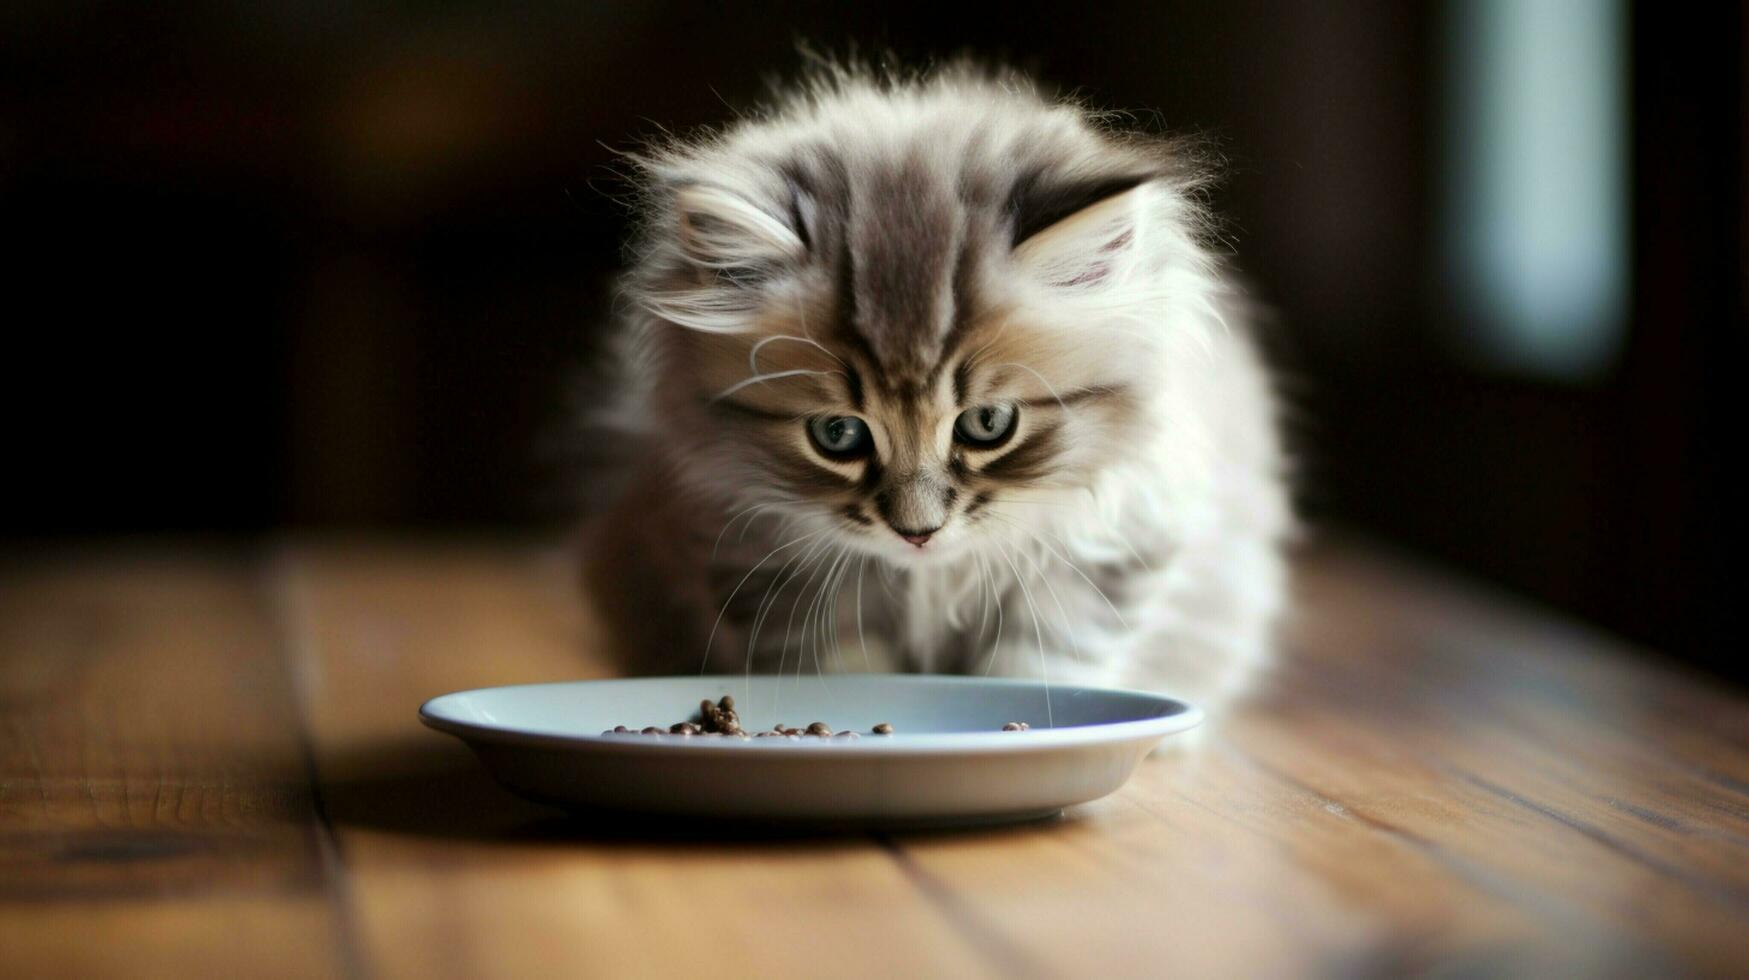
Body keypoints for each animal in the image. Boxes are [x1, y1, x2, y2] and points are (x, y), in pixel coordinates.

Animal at [580, 63, 1294, 710]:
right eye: (837, 433)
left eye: (988, 424)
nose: (917, 534)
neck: (931, 576)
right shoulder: (752, 553)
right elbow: (841, 670)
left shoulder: (1111, 547)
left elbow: (1041, 667)